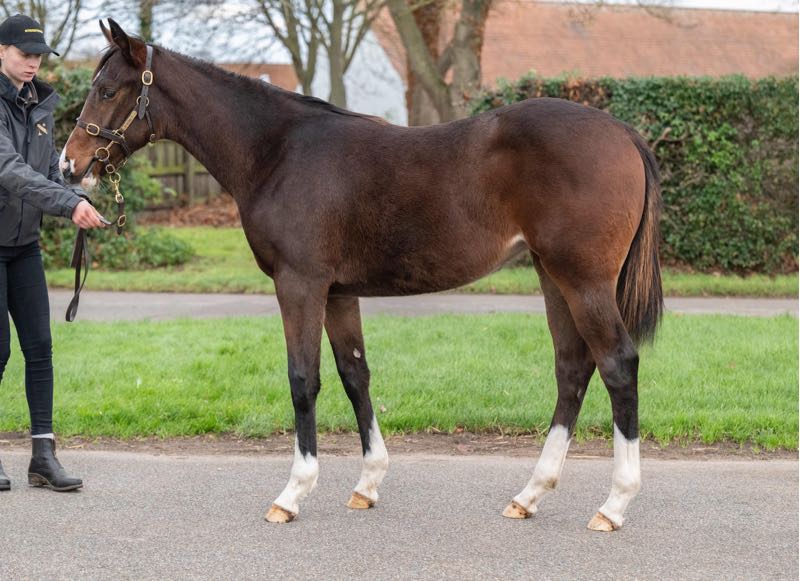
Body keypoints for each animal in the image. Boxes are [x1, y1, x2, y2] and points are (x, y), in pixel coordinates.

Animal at [62, 19, 663, 531]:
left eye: (109, 90)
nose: (70, 164)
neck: (277, 152)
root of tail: (623, 133)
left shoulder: (300, 284)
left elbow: (303, 379)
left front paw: (293, 493)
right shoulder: (337, 293)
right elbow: (355, 375)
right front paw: (368, 483)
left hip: (582, 280)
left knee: (617, 364)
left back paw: (614, 504)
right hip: (551, 275)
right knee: (572, 368)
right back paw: (530, 494)